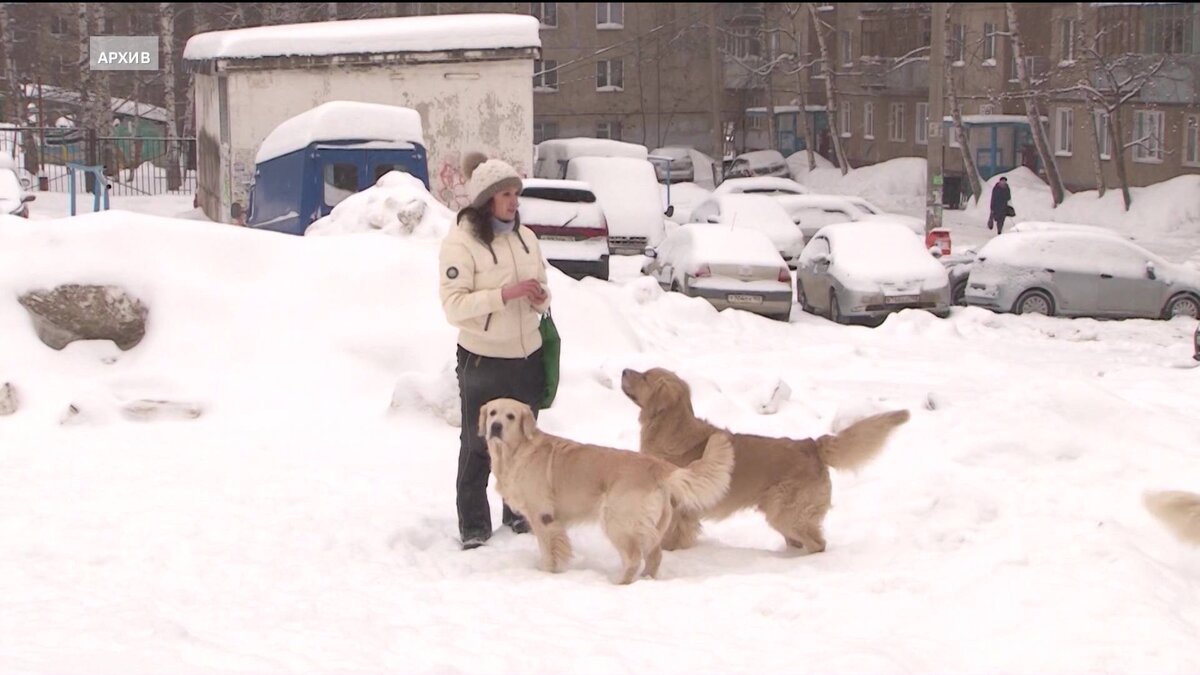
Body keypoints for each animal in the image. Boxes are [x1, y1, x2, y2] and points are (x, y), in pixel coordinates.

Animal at [477, 396, 729, 581]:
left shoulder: (544, 517)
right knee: (654, 556)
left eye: (510, 416)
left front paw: (547, 574)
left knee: (633, 557)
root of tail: (658, 467)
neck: (517, 451)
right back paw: (646, 580)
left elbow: (549, 552)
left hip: (616, 520)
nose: (496, 427)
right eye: (492, 413)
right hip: (653, 525)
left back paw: (618, 583)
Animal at [619, 367, 907, 552]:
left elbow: (673, 535)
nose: (623, 370)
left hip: (787, 513)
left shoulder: (681, 507)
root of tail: (811, 443)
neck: (673, 430)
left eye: (644, 376)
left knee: (818, 544)